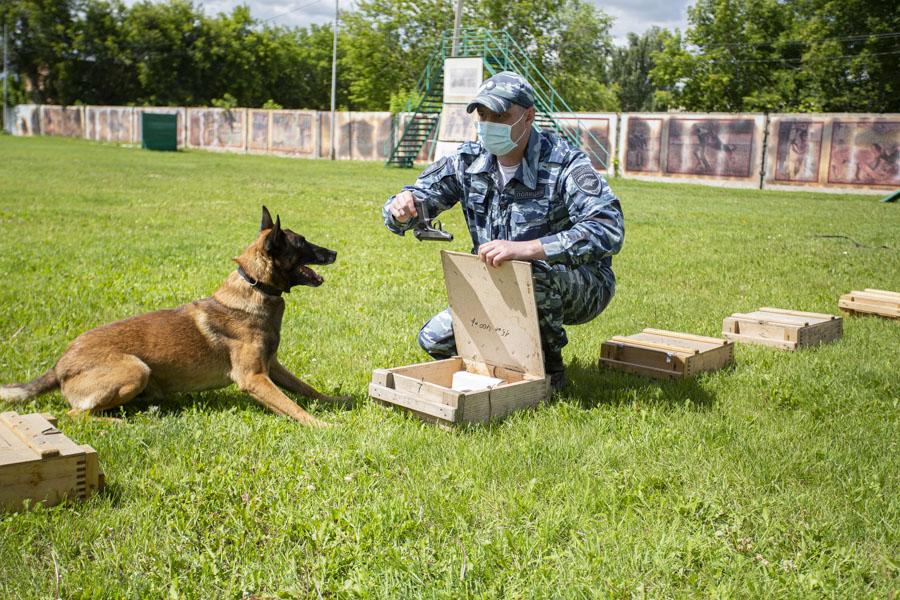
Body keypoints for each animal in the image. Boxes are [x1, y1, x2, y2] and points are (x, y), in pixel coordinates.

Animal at [0, 206, 344, 426]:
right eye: (302, 243)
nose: (335, 252)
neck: (254, 286)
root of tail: (60, 365)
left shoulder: (271, 365)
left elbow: (304, 388)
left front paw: (334, 403)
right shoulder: (254, 378)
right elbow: (292, 406)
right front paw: (322, 426)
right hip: (135, 369)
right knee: (76, 417)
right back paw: (124, 424)